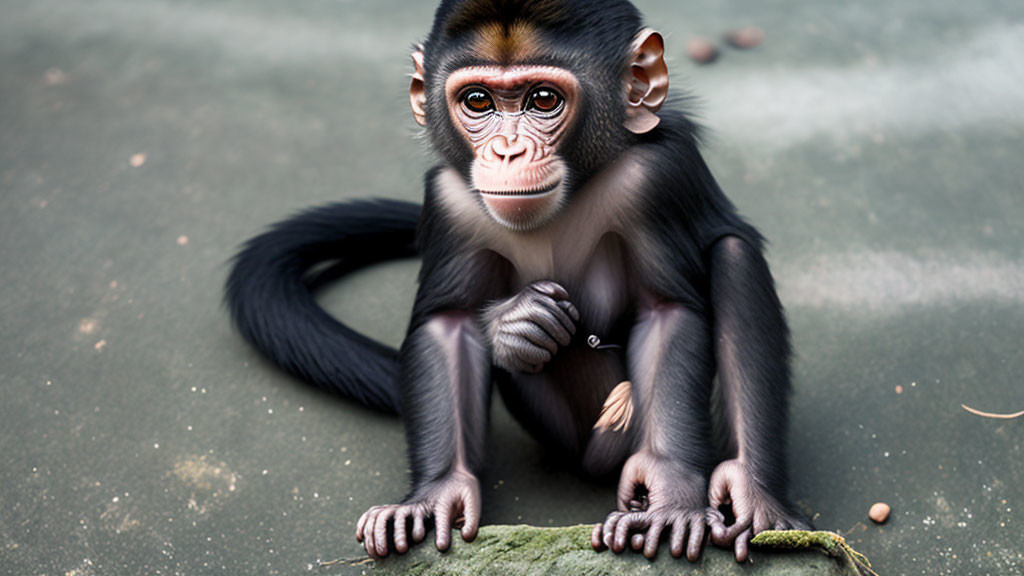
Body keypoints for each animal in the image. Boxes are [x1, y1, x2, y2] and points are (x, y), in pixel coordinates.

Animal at [224, 0, 806, 561]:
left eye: (543, 99)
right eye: (478, 101)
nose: (507, 150)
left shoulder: (656, 177)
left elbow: (668, 312)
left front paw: (670, 495)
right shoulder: (450, 200)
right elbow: (449, 325)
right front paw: (437, 488)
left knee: (733, 254)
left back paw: (751, 491)